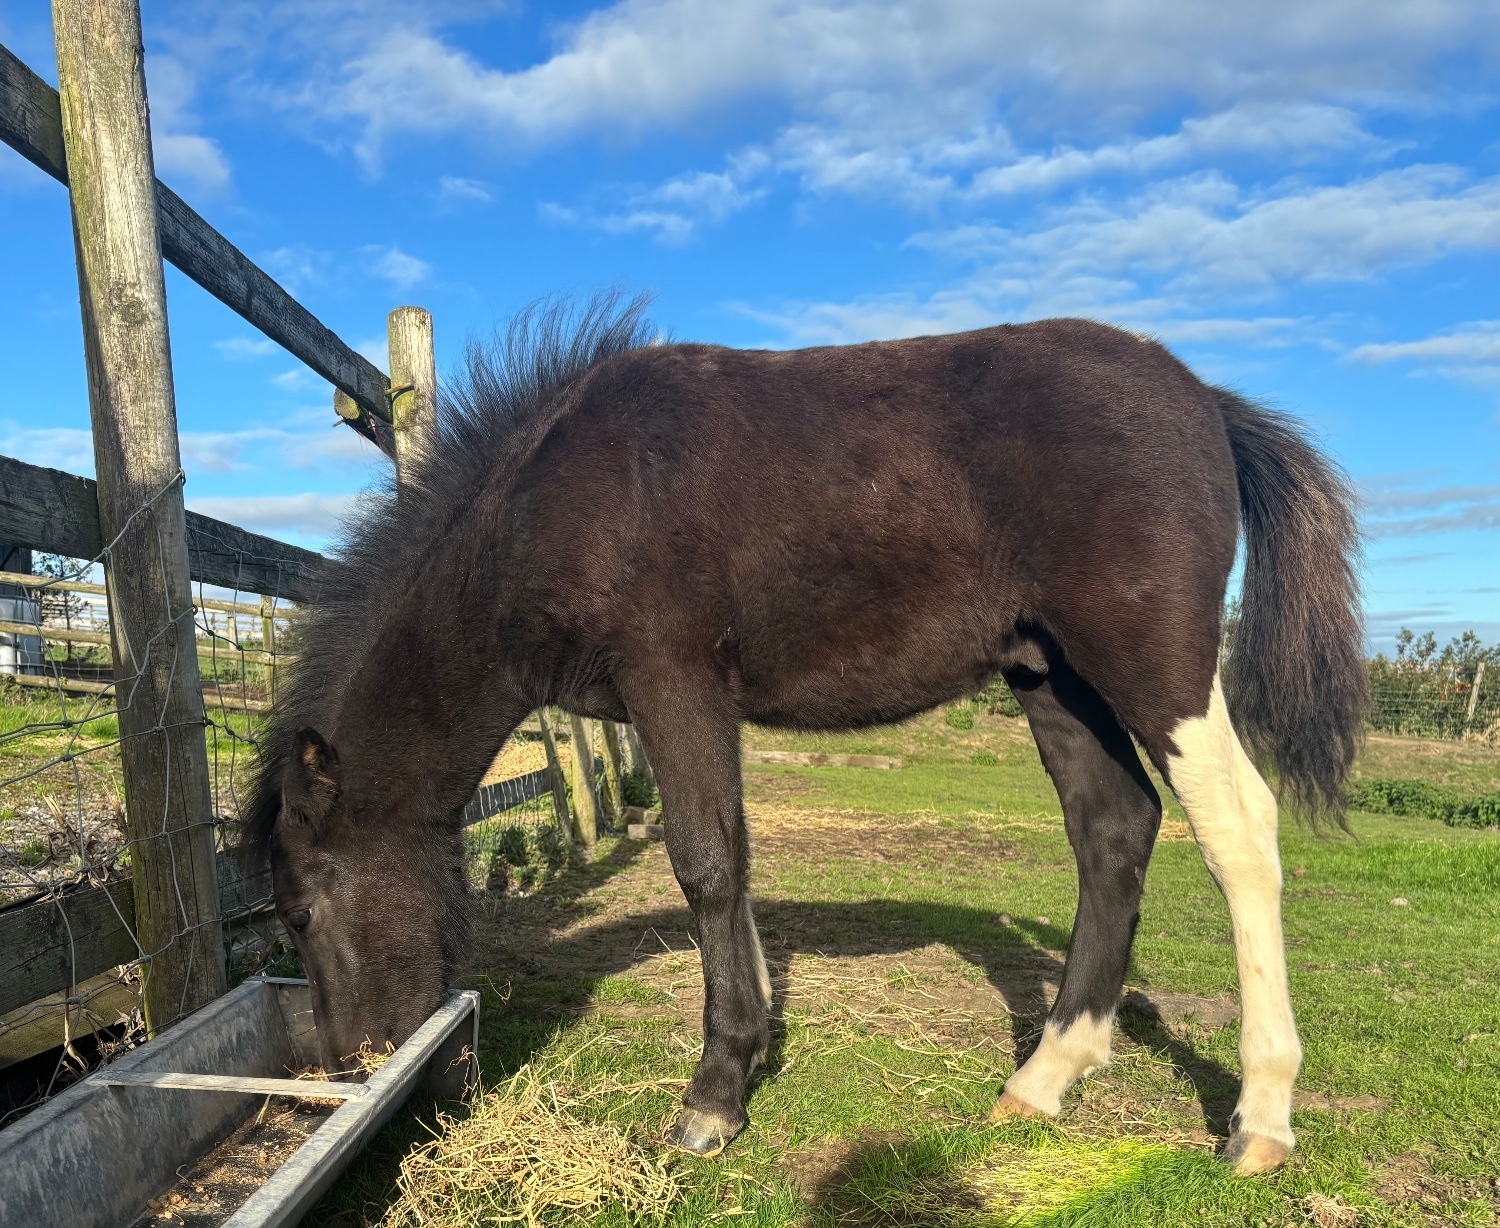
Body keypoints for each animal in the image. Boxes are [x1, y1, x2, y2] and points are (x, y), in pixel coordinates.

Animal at [247, 294, 1364, 1176]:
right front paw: (746, 1057)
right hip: (1050, 672)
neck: (559, 500)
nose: (348, 1063)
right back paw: (1046, 1075)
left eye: (299, 912)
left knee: (1238, 829)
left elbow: (705, 866)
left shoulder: (675, 680)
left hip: (1150, 660)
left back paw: (1261, 1117)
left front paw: (712, 1100)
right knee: (1114, 827)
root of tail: (1207, 402)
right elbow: (732, 866)